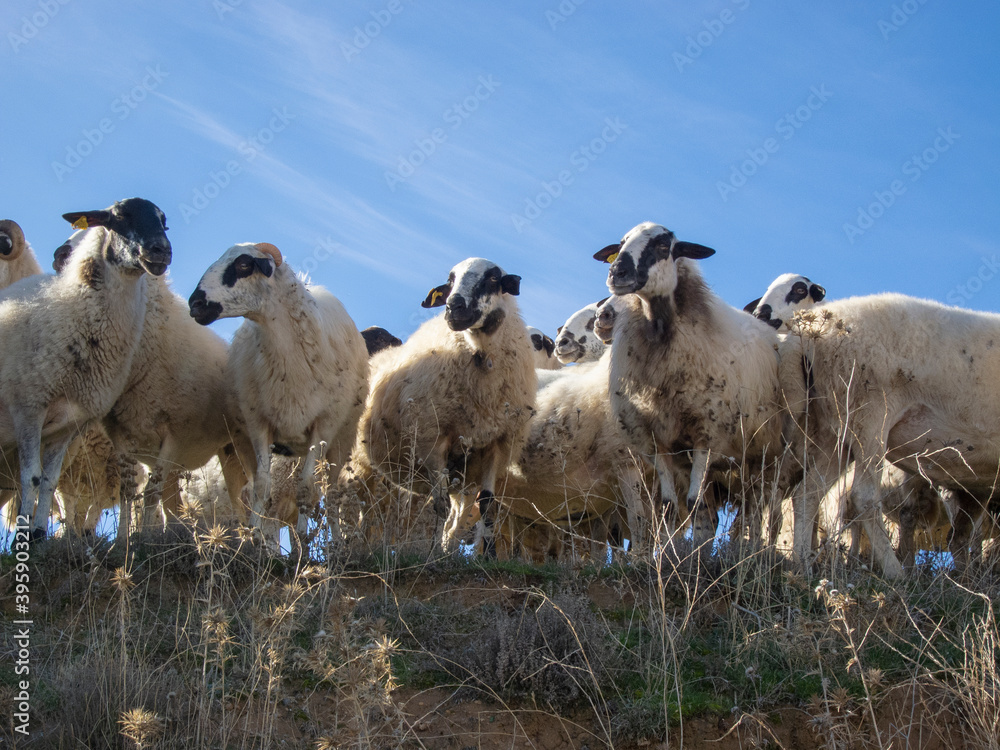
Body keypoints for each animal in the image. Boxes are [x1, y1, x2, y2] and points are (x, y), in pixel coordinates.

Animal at [0, 198, 171, 539]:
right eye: (119, 217)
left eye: (164, 222)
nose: (161, 251)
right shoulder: (28, 407)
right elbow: (31, 477)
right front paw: (22, 540)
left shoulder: (68, 423)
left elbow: (48, 480)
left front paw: (38, 536)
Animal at [189, 242, 369, 548]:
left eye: (244, 265)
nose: (194, 304)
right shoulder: (259, 424)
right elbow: (262, 487)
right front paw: (253, 539)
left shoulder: (322, 426)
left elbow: (306, 489)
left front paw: (304, 545)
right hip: (244, 443)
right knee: (248, 490)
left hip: (340, 440)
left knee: (331, 492)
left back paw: (334, 544)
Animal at [354, 257, 536, 555]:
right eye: (449, 282)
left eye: (493, 278)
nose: (453, 307)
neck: (480, 353)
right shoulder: (431, 438)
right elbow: (438, 505)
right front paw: (433, 556)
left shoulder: (496, 443)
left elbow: (487, 504)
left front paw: (489, 555)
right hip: (359, 463)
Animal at [594, 222, 791, 553]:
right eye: (620, 245)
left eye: (664, 246)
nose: (617, 273)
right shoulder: (657, 441)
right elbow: (670, 507)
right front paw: (667, 556)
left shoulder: (706, 434)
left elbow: (694, 504)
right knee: (715, 515)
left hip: (764, 455)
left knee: (760, 512)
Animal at [779, 293, 1000, 578]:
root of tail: (812, 330)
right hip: (869, 414)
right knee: (863, 497)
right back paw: (896, 573)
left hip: (835, 427)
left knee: (807, 493)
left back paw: (803, 566)